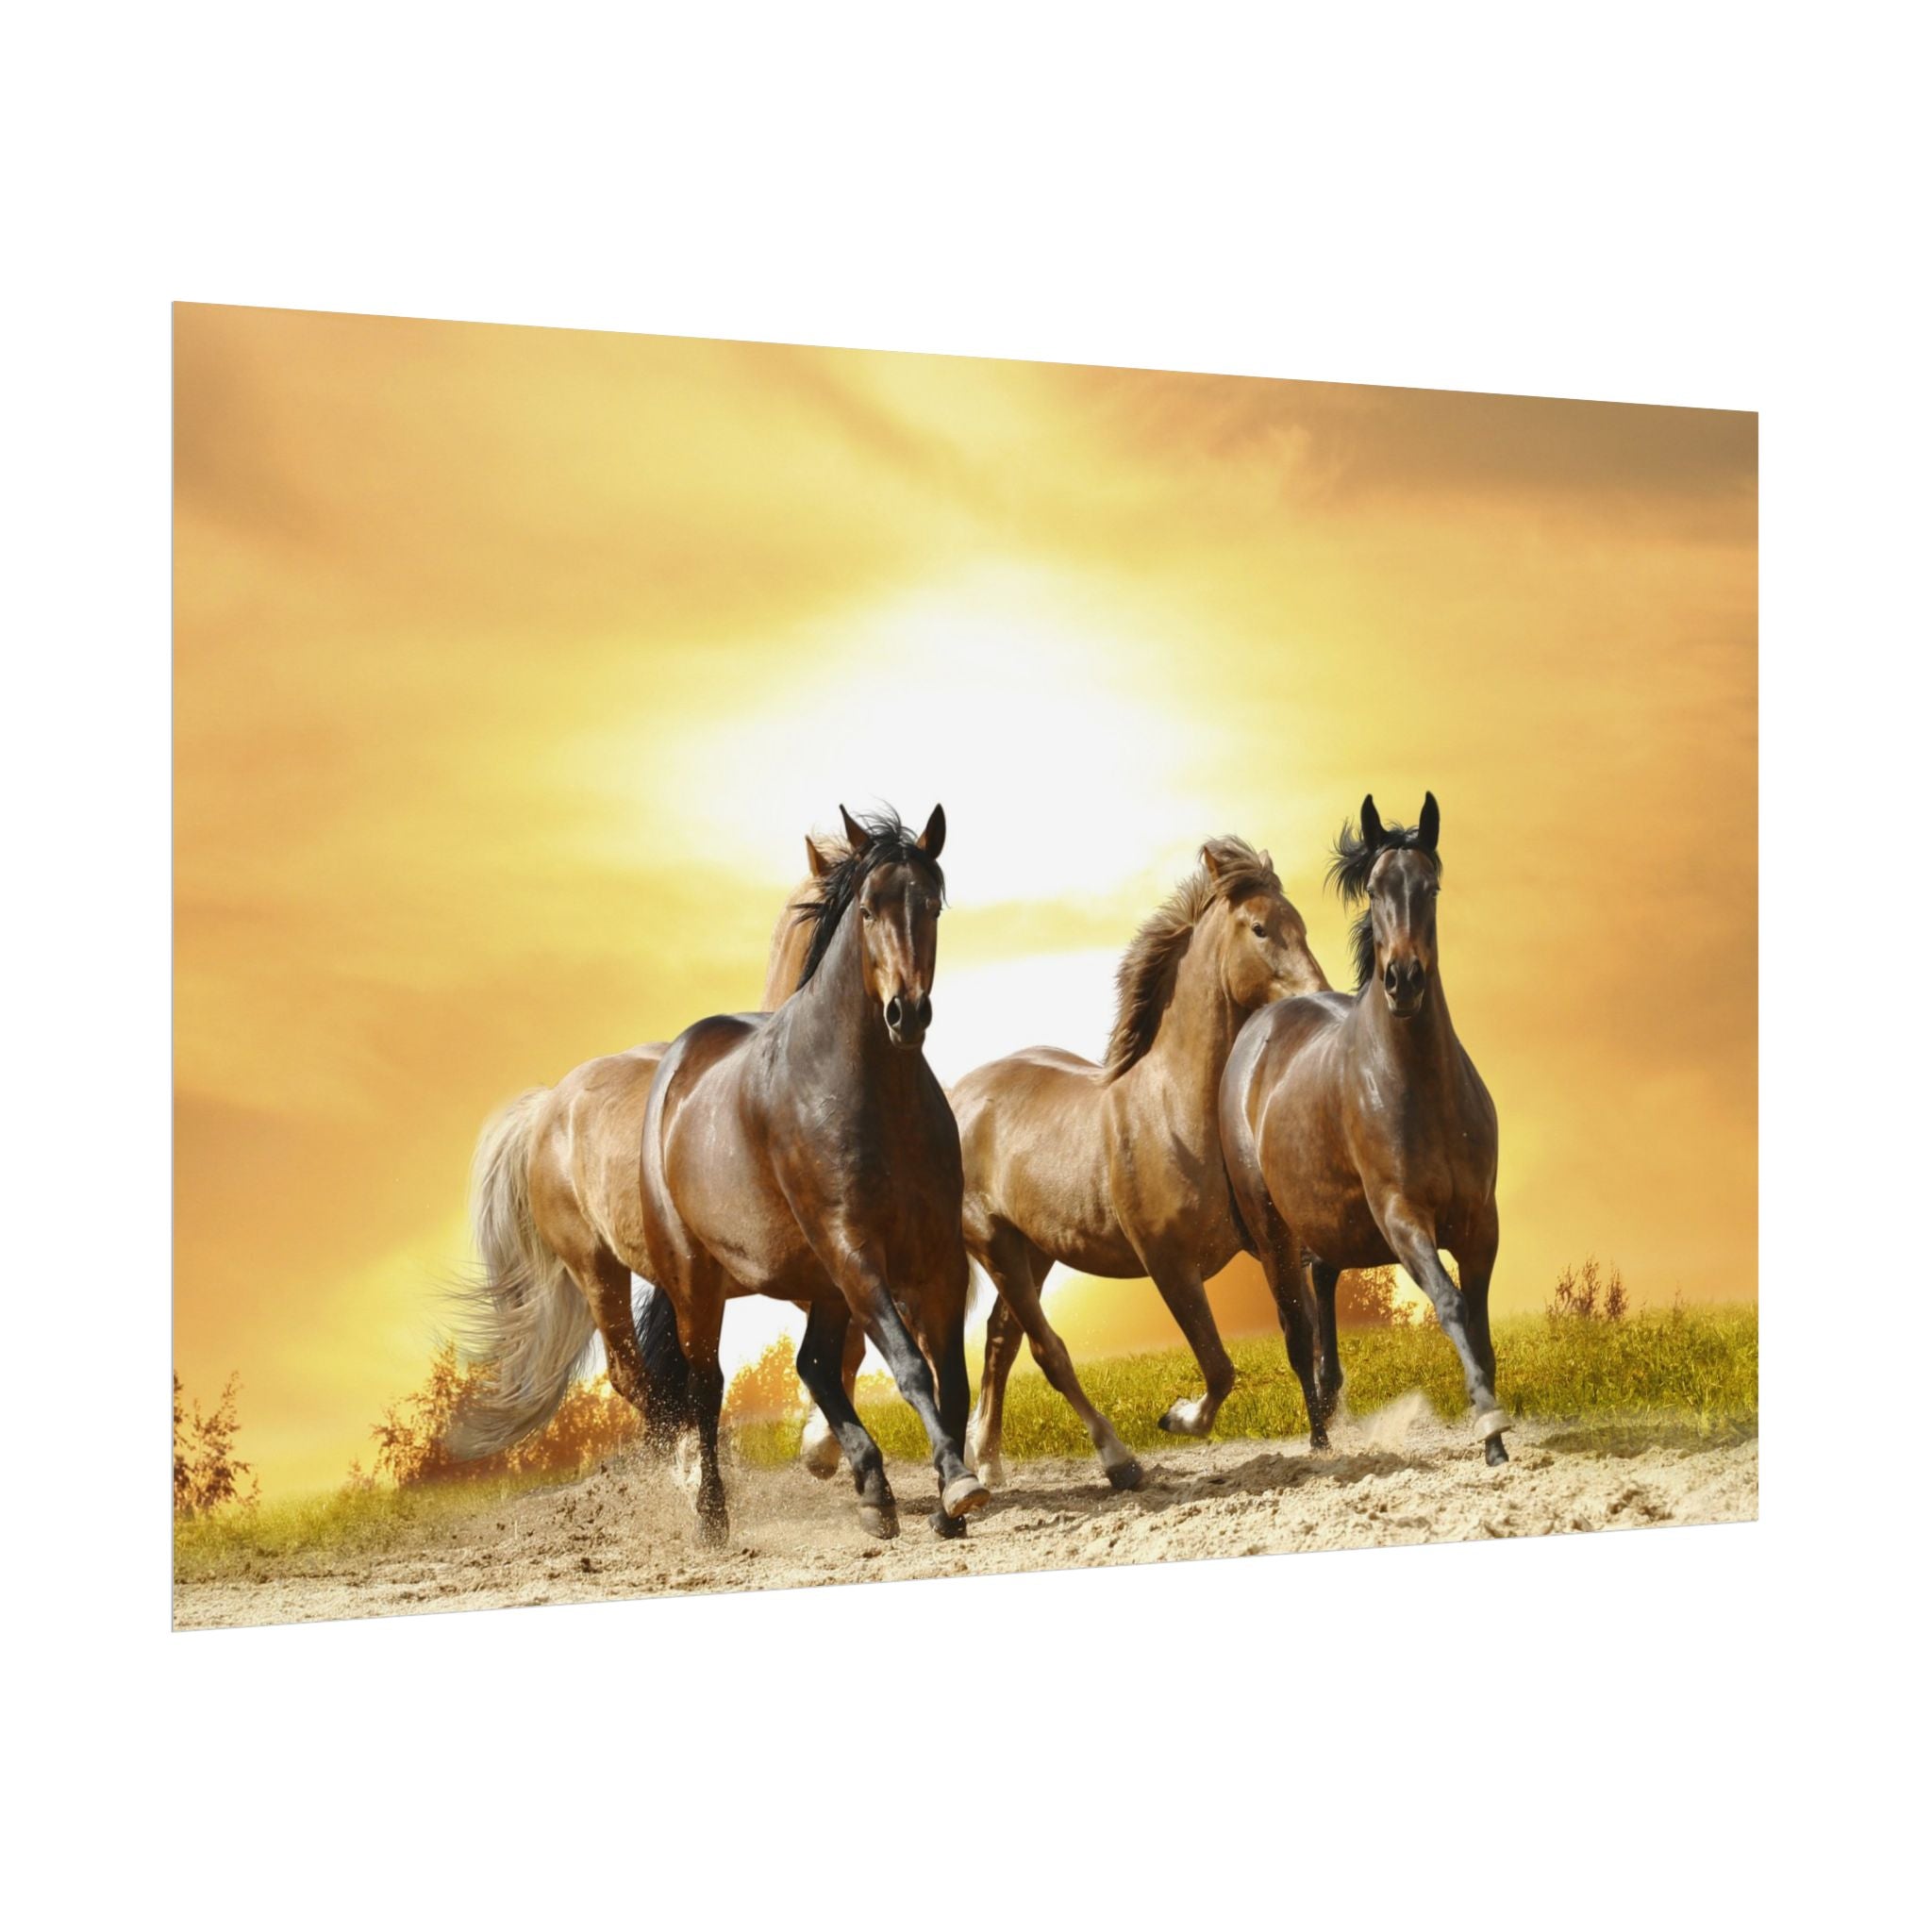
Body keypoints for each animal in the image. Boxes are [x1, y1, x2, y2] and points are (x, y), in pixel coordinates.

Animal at [632, 805, 987, 1545]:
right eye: (869, 909)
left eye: (931, 905)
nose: (906, 1013)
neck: (872, 1095)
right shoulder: (855, 1250)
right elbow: (911, 1366)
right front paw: (959, 1483)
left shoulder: (937, 1257)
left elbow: (952, 1378)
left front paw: (948, 1503)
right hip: (700, 1284)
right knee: (708, 1388)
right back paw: (713, 1519)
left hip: (821, 1281)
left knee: (813, 1365)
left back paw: (874, 1492)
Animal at [952, 837, 1331, 1492]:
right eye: (1259, 928)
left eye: (1301, 923)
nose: (1318, 994)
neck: (1175, 1111)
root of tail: (956, 1096)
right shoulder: (1168, 1265)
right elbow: (1219, 1366)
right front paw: (1177, 1417)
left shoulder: (1273, 1244)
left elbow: (1298, 1335)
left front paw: (1324, 1440)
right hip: (995, 1244)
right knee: (1047, 1350)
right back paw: (1118, 1461)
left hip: (1035, 1250)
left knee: (1001, 1340)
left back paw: (990, 1462)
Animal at [1218, 793, 1509, 1466]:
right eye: (1375, 889)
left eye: (1431, 886)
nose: (1403, 980)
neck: (1423, 1088)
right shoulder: (1402, 1217)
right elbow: (1452, 1305)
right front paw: (1490, 1426)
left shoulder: (1481, 1221)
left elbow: (1480, 1320)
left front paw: (1495, 1436)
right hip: (1273, 1230)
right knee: (1296, 1328)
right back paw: (1321, 1440)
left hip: (1332, 1221)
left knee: (1324, 1282)